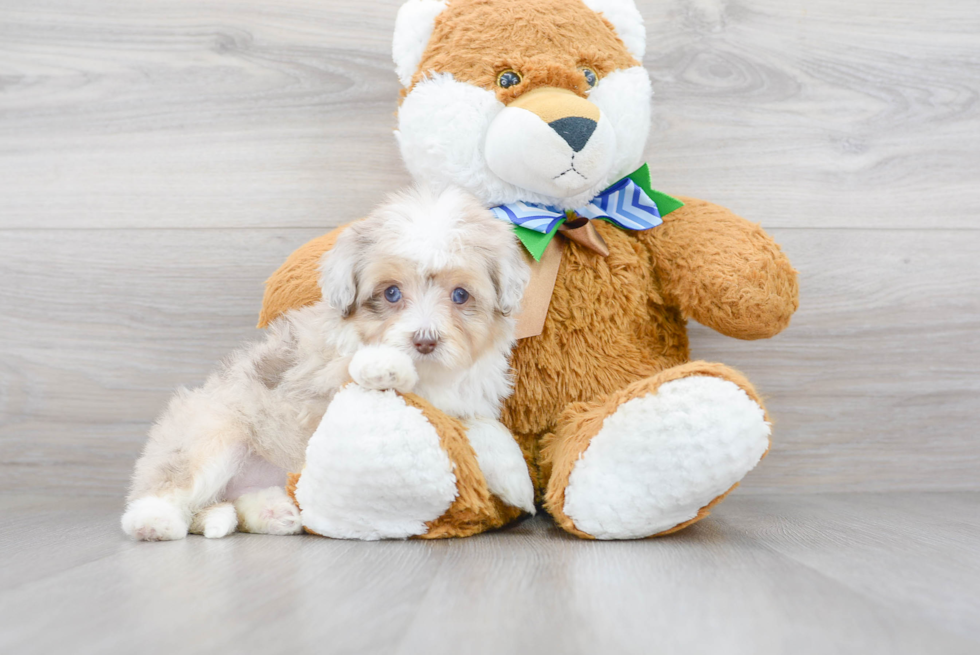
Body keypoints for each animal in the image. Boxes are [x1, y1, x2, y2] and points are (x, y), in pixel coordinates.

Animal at [127, 186, 536, 544]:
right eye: (391, 293)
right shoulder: (320, 377)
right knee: (172, 483)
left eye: (460, 295)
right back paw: (154, 521)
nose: (424, 341)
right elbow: (363, 371)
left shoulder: (468, 393)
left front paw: (516, 478)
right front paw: (387, 365)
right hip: (214, 432)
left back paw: (276, 513)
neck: (433, 377)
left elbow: (479, 424)